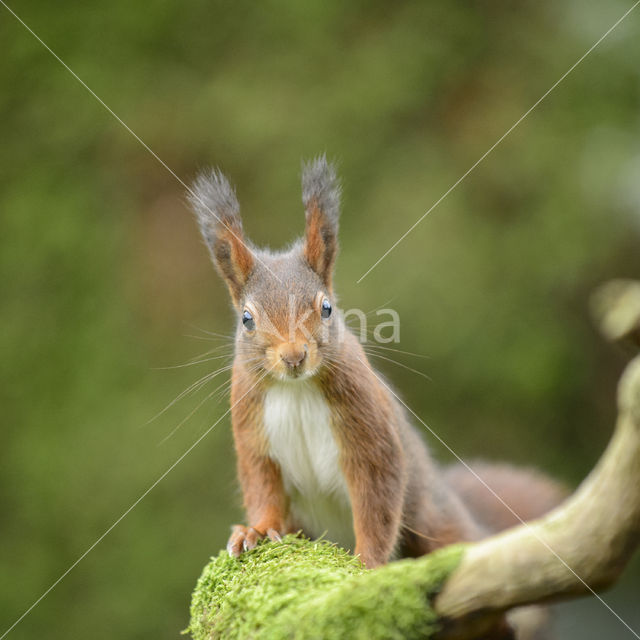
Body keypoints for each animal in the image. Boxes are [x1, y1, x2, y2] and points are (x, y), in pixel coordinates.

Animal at [186, 158, 564, 568]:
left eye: (326, 308)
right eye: (247, 319)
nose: (294, 356)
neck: (297, 388)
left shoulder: (367, 426)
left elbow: (376, 501)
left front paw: (366, 562)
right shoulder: (253, 433)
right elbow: (262, 489)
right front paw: (255, 531)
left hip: (437, 522)